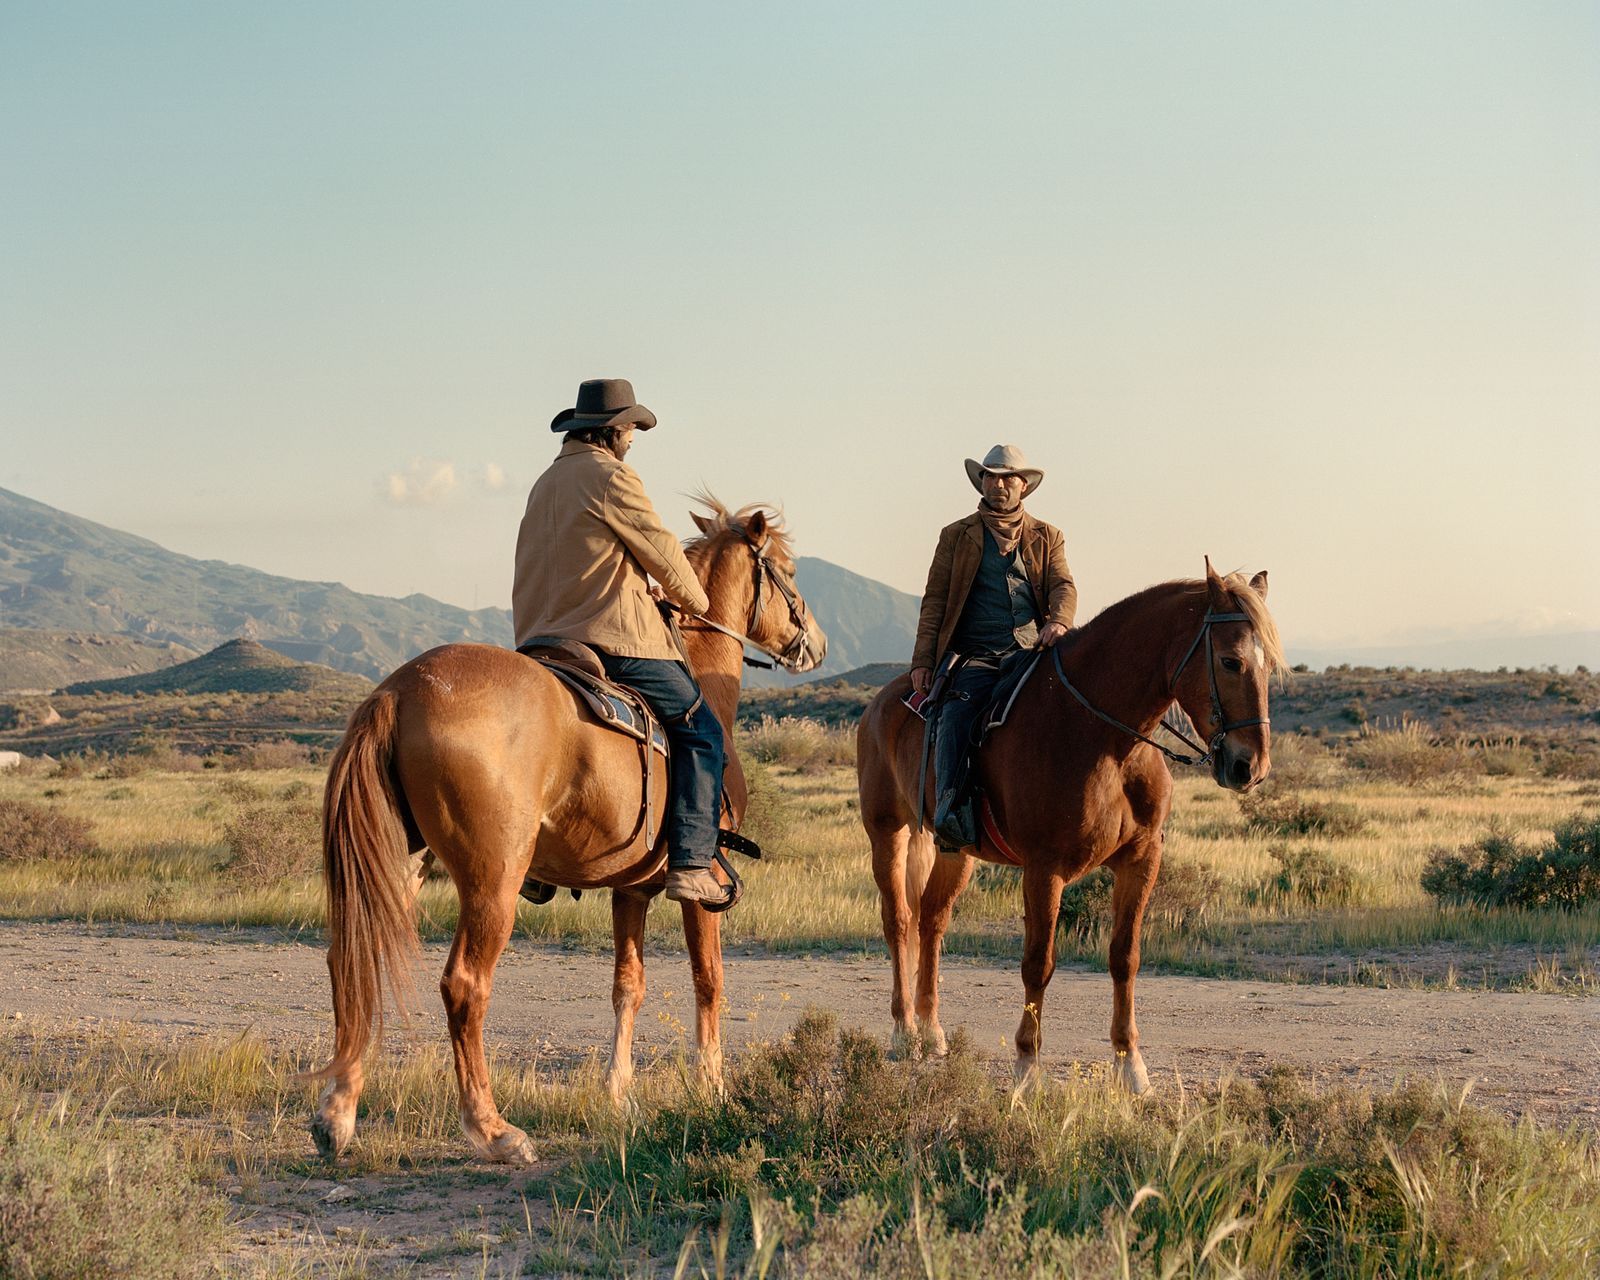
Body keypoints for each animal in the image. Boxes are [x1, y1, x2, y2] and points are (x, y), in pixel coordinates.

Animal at [305, 496, 825, 1158]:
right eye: (789, 570)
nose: (816, 644)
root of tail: (399, 690)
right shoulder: (700, 888)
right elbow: (709, 979)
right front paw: (711, 1086)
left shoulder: (631, 889)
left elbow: (629, 985)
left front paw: (617, 1093)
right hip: (493, 882)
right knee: (465, 985)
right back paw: (493, 1129)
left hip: (399, 865)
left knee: (353, 957)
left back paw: (337, 1114)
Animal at [857, 566, 1280, 1094]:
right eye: (1230, 661)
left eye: (1270, 666)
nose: (1251, 767)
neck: (1105, 739)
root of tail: (880, 703)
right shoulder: (1044, 869)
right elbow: (1038, 963)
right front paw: (1026, 1068)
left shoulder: (1142, 859)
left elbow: (1124, 957)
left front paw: (1131, 1067)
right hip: (888, 833)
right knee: (898, 921)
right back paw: (903, 1031)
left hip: (955, 851)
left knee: (932, 921)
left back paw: (932, 1031)